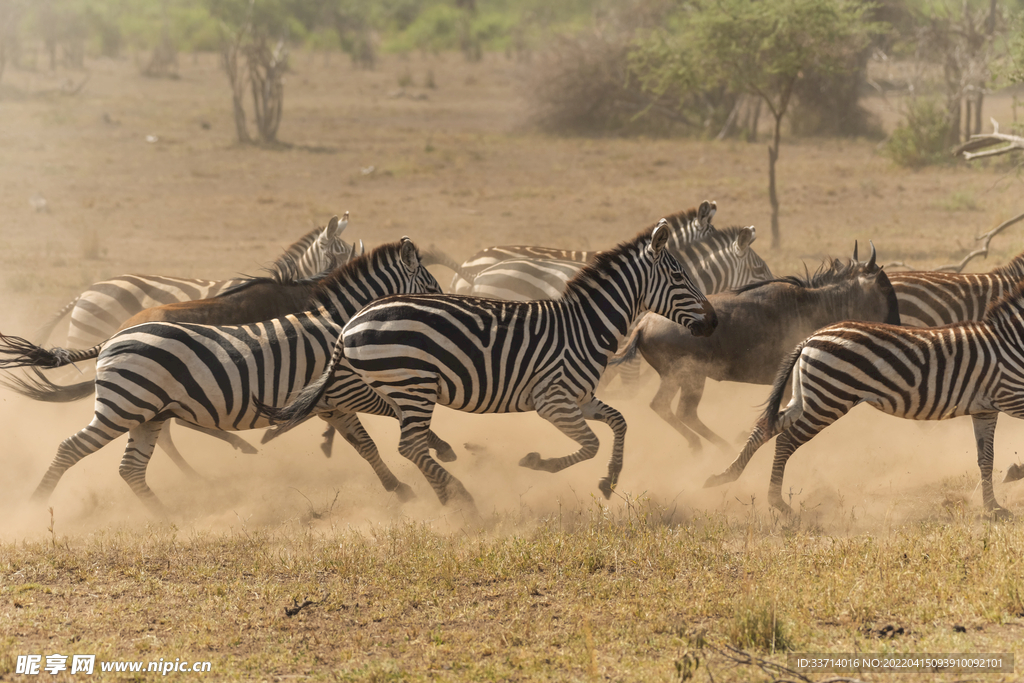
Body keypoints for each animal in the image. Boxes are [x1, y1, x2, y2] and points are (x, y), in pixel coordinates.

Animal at [0, 239, 444, 511]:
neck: (325, 314)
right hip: (137, 402)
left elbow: (363, 439)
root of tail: (116, 333)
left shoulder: (324, 395)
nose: (442, 307)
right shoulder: (334, 387)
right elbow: (379, 419)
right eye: (431, 283)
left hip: (152, 405)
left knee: (152, 447)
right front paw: (438, 450)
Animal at [260, 219, 716, 511]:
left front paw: (610, 480)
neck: (585, 325)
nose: (713, 323)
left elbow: (620, 423)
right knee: (410, 445)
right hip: (413, 385)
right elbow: (590, 444)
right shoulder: (552, 401)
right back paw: (461, 497)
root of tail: (352, 321)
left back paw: (445, 491)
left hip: (395, 388)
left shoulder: (580, 398)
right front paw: (537, 462)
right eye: (680, 278)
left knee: (407, 443)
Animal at [704, 278, 1024, 518]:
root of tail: (810, 337)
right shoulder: (1013, 399)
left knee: (765, 428)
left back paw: (724, 476)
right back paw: (779, 504)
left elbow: (985, 458)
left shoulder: (985, 409)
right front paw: (1014, 474)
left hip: (807, 397)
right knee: (785, 441)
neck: (1011, 342)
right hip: (828, 400)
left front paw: (993, 507)